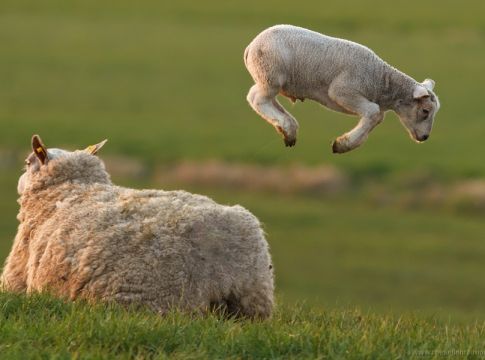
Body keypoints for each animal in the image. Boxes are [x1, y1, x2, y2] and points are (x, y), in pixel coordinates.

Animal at [244, 23, 440, 153]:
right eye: (425, 111)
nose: (425, 137)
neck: (381, 81)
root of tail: (251, 46)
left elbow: (377, 117)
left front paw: (344, 145)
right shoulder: (342, 92)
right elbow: (375, 112)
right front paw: (342, 144)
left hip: (269, 78)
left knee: (262, 98)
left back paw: (288, 128)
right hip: (270, 75)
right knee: (257, 99)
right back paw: (286, 126)